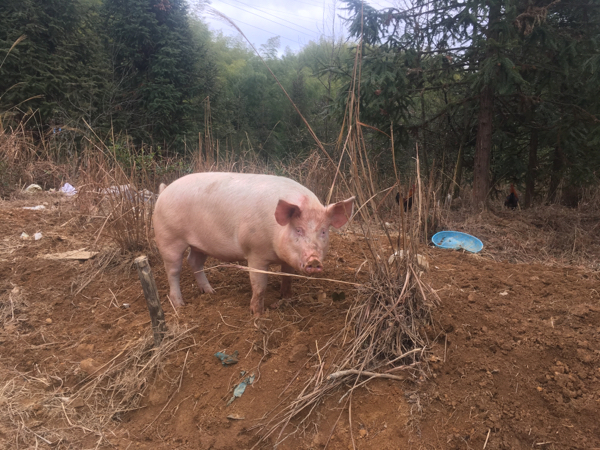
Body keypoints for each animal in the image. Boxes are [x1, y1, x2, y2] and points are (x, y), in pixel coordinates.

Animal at [152, 172, 356, 316]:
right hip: (169, 238)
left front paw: (286, 297)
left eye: (323, 231)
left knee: (194, 262)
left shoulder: (288, 258)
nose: (314, 261)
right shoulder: (255, 253)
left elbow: (287, 277)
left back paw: (211, 292)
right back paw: (180, 304)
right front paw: (257, 314)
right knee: (173, 270)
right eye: (298, 230)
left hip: (199, 244)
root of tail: (164, 191)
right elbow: (259, 286)